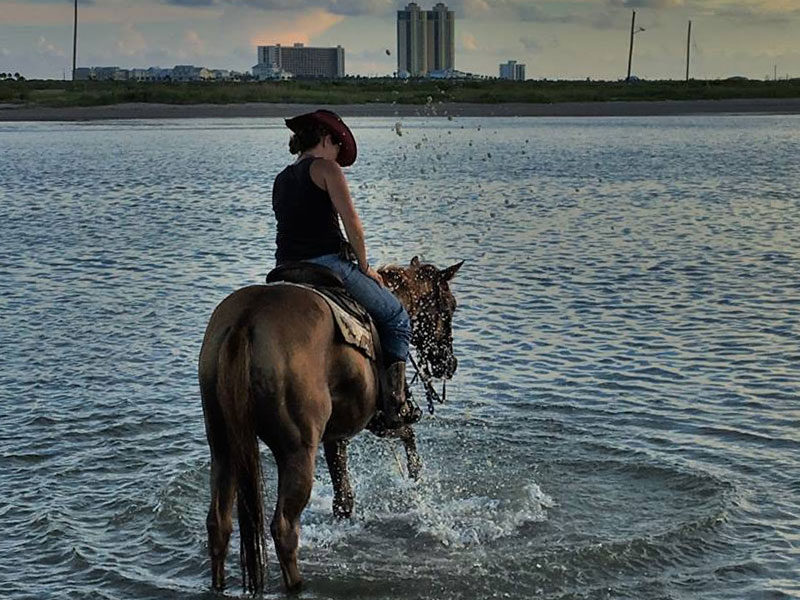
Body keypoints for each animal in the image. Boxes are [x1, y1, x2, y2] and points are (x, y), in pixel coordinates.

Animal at [198, 255, 462, 592]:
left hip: (224, 445)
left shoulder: (336, 435)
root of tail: (246, 320)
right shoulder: (379, 418)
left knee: (219, 523)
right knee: (284, 529)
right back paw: (297, 585)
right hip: (297, 453)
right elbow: (406, 432)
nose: (448, 364)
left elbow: (343, 494)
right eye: (450, 306)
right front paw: (416, 474)